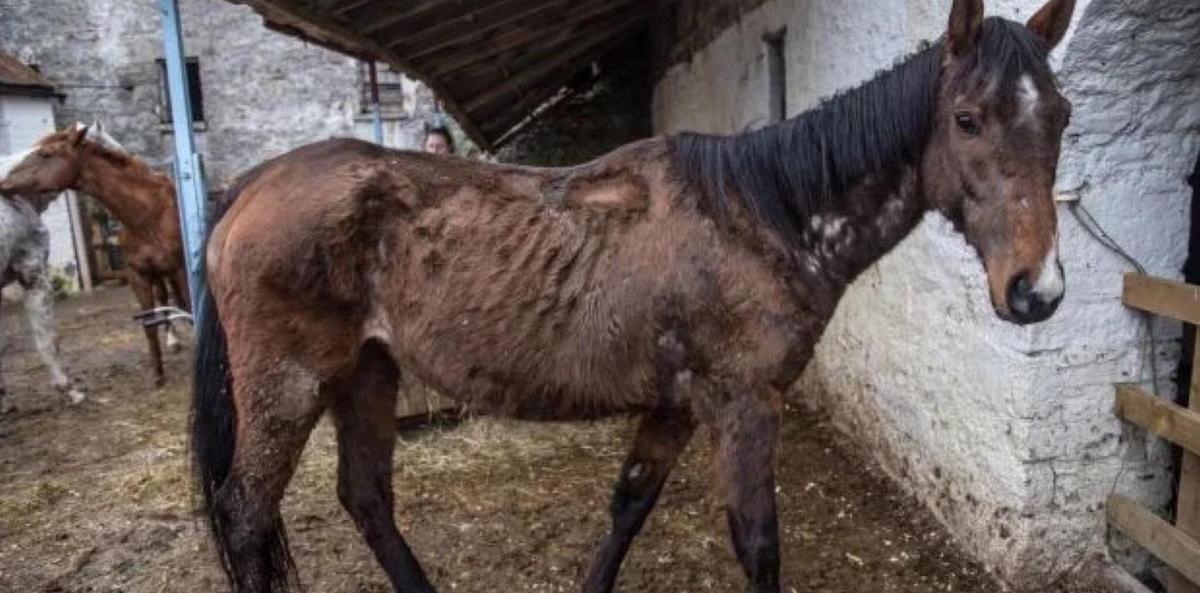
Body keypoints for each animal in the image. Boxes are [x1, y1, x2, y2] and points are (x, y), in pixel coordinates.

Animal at [0, 123, 190, 385]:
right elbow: (149, 323)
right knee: (164, 298)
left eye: (46, 154)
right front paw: (157, 374)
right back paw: (173, 340)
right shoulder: (138, 275)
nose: (3, 182)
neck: (148, 214)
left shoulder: (181, 269)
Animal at [191, 0, 1076, 591]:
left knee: (367, 498)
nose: (1036, 289)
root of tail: (253, 185)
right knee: (244, 512)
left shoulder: (675, 405)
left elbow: (627, 506)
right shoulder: (745, 404)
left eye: (1063, 117)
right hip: (287, 385)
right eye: (967, 119)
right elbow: (758, 544)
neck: (761, 215)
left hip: (365, 374)